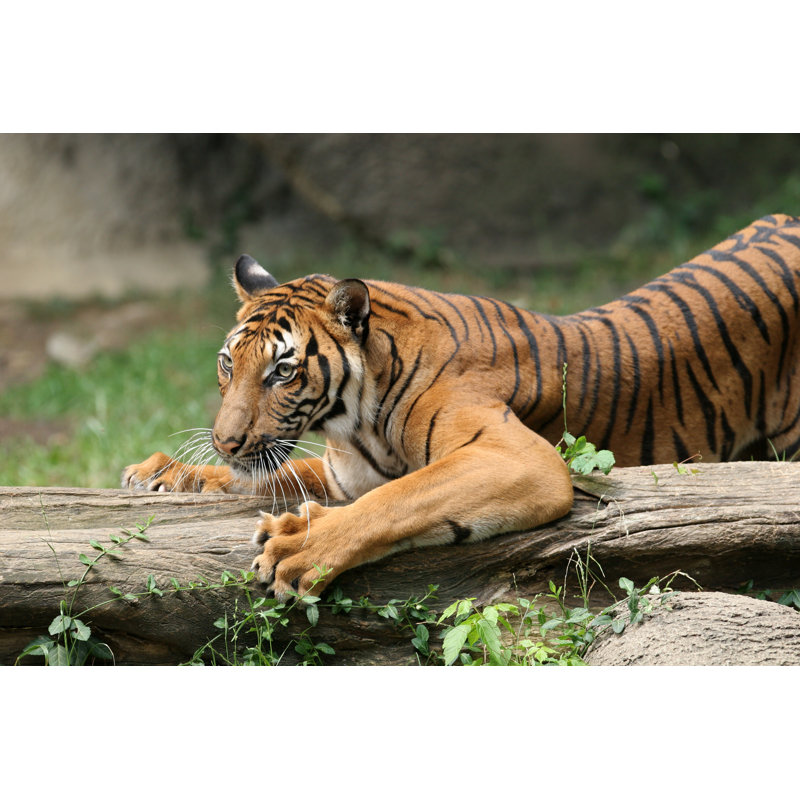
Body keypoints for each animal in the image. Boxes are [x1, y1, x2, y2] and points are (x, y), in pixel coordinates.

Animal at [122, 213, 800, 598]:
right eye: (228, 364)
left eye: (283, 371)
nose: (226, 441)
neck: (354, 418)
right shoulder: (343, 472)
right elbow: (279, 475)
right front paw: (166, 473)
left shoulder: (516, 456)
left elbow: (398, 499)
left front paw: (297, 548)